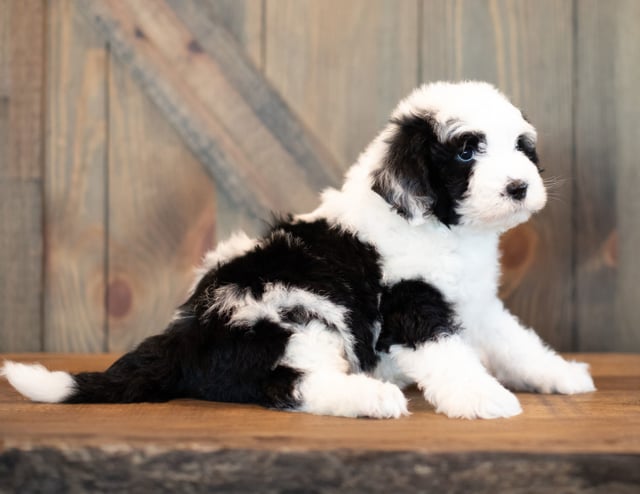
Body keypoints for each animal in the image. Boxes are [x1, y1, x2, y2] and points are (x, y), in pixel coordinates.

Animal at [0, 81, 596, 416]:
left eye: (521, 148)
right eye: (468, 151)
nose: (519, 187)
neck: (442, 228)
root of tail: (186, 332)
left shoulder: (475, 304)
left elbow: (517, 342)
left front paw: (562, 374)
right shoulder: (411, 306)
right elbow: (448, 356)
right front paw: (484, 398)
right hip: (296, 313)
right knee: (287, 385)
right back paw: (371, 398)